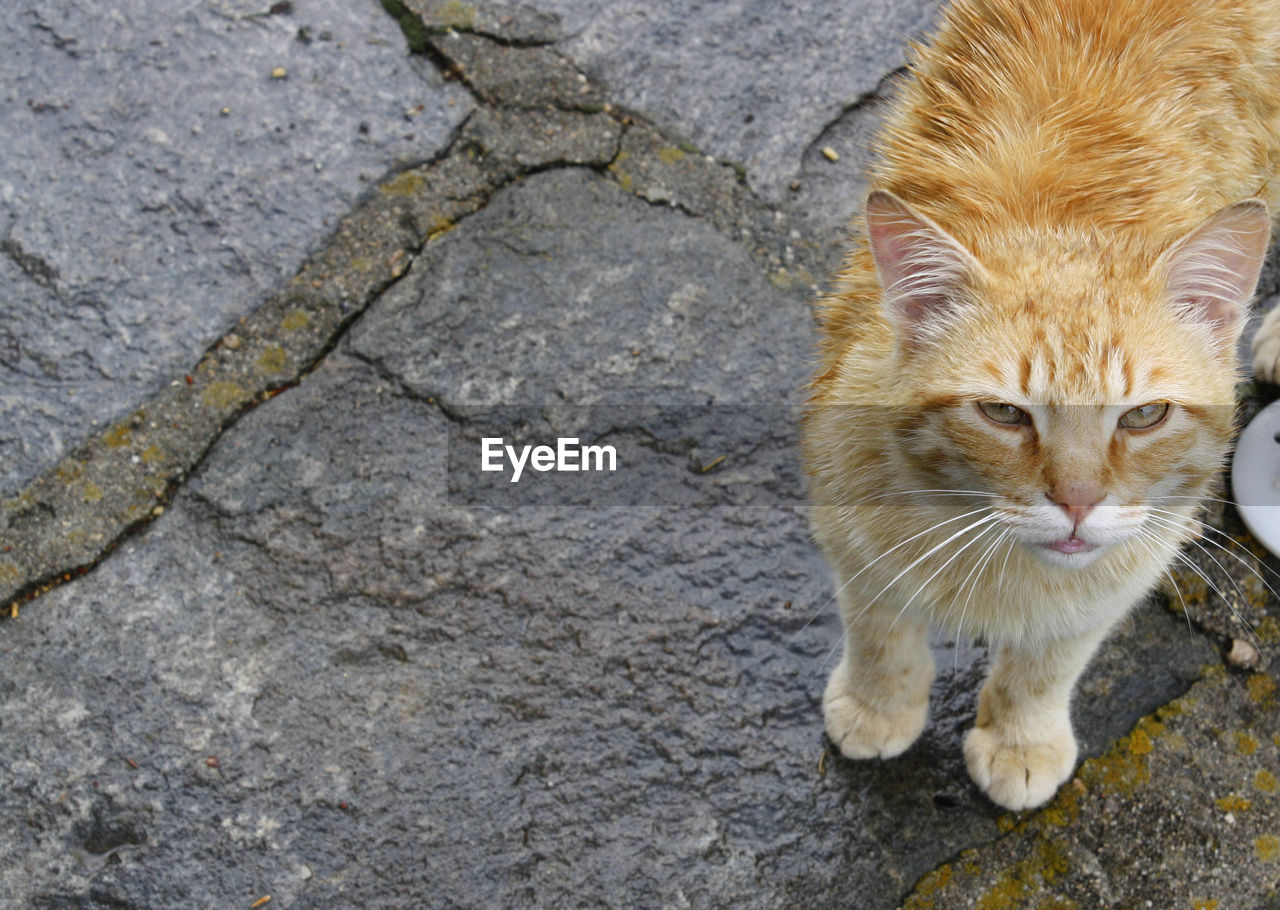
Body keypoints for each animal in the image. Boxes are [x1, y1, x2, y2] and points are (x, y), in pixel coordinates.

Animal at [803, 0, 1280, 814]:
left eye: (1143, 416)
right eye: (1004, 413)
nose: (1078, 503)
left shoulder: (1125, 564)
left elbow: (1049, 659)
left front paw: (1021, 739)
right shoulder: (846, 520)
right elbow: (878, 625)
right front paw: (878, 704)